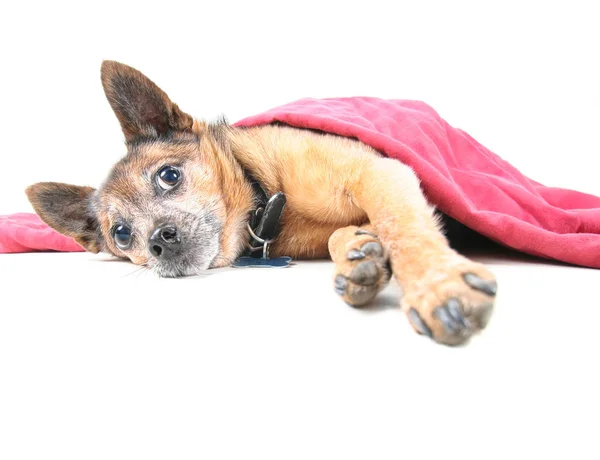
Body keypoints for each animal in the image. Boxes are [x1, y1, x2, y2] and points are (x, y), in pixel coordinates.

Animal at [24, 60, 496, 344]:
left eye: (168, 175)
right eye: (121, 235)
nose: (159, 241)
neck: (267, 198)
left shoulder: (380, 172)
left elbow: (403, 227)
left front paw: (439, 287)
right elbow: (353, 233)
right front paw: (360, 252)